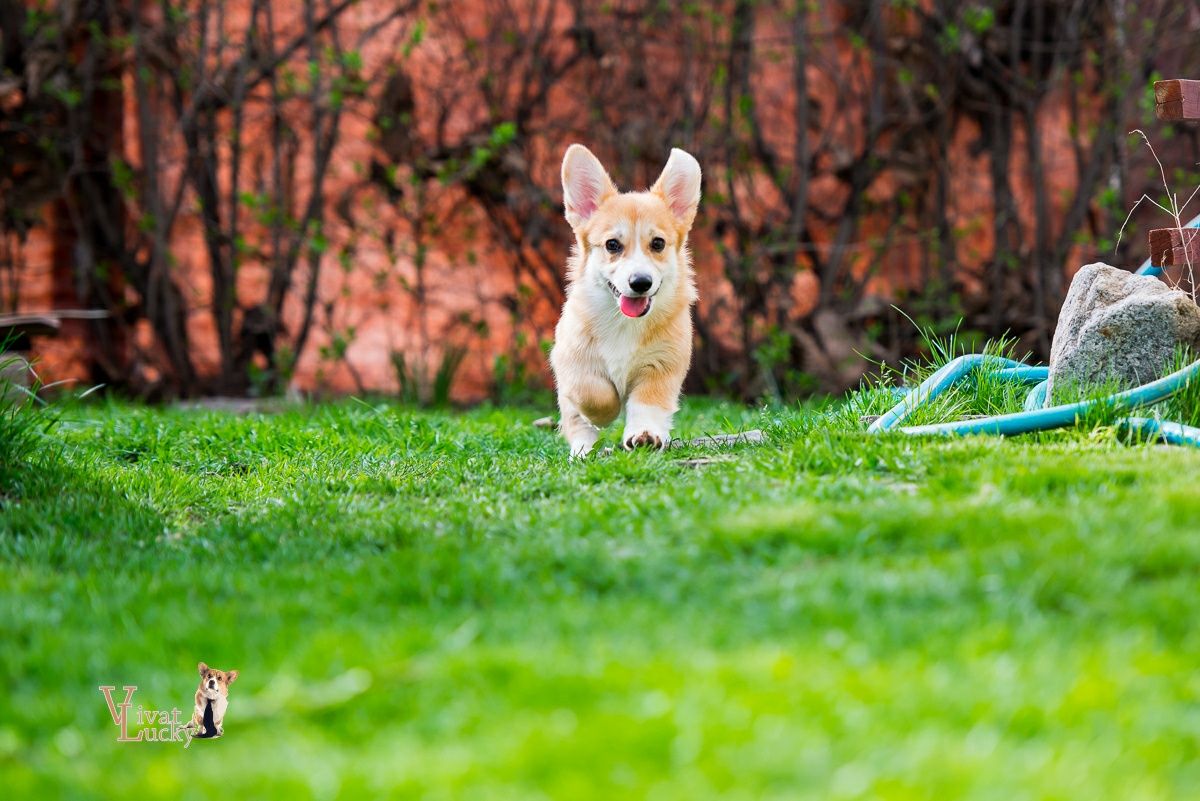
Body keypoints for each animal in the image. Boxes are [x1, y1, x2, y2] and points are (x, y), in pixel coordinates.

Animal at [549, 143, 700, 455]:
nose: (640, 283)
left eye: (658, 243)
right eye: (612, 245)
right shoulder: (573, 362)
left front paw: (644, 435)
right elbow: (593, 393)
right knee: (576, 423)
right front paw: (604, 414)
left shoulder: (661, 366)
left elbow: (647, 405)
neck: (623, 321)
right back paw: (582, 451)